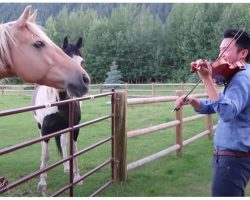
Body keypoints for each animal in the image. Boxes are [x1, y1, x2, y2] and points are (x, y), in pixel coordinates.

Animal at [31, 36, 86, 193]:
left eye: (82, 62)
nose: (78, 87)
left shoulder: (75, 128)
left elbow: (74, 150)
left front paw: (77, 177)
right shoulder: (45, 130)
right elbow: (46, 155)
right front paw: (42, 182)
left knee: (63, 143)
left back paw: (67, 168)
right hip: (40, 127)